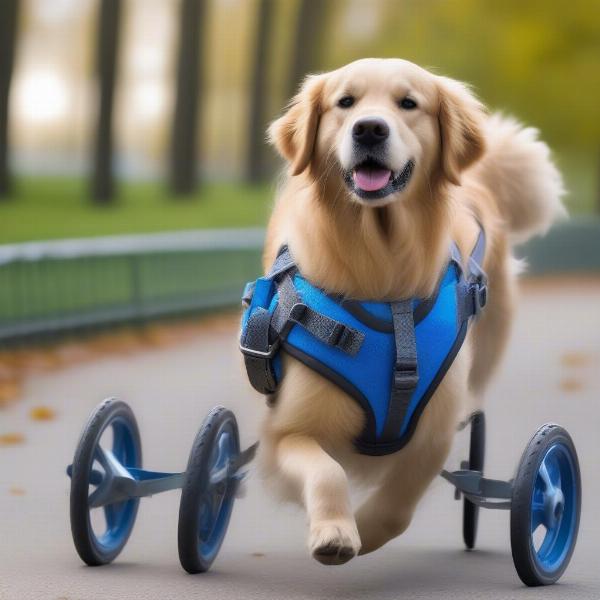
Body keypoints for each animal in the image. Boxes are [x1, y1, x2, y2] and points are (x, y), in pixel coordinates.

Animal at [251, 58, 564, 564]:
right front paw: (336, 531)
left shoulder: (434, 430)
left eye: (409, 103)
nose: (369, 129)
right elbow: (326, 470)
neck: (381, 270)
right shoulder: (287, 430)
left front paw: (365, 528)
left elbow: (401, 500)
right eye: (345, 102)